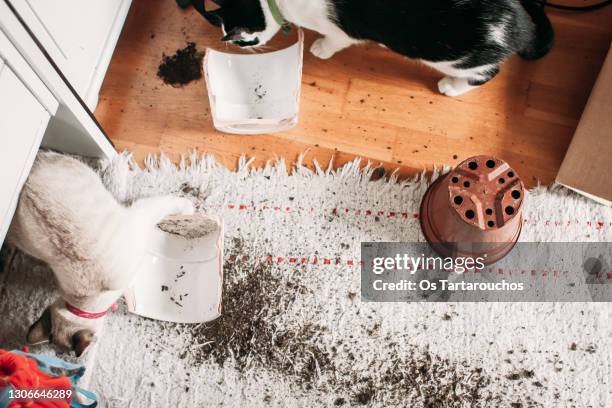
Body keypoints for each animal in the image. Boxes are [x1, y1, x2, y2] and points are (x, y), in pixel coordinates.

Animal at [197, 0, 556, 96]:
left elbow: (335, 41)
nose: (239, 47)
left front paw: (320, 49)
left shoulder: (339, 31)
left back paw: (451, 87)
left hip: (458, 58)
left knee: (485, 74)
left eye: (241, 38)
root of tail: (522, 24)